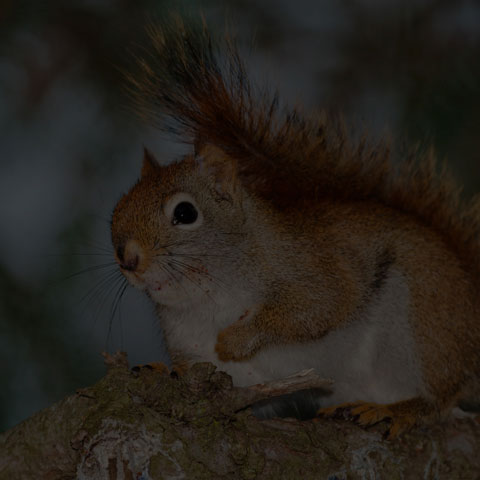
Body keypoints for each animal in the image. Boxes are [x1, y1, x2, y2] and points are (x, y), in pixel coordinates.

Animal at [109, 16, 480, 436]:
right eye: (118, 208)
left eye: (185, 213)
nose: (128, 259)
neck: (206, 299)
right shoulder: (209, 359)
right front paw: (163, 372)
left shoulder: (312, 268)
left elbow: (318, 306)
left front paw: (238, 338)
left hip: (426, 321)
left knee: (440, 398)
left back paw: (400, 410)